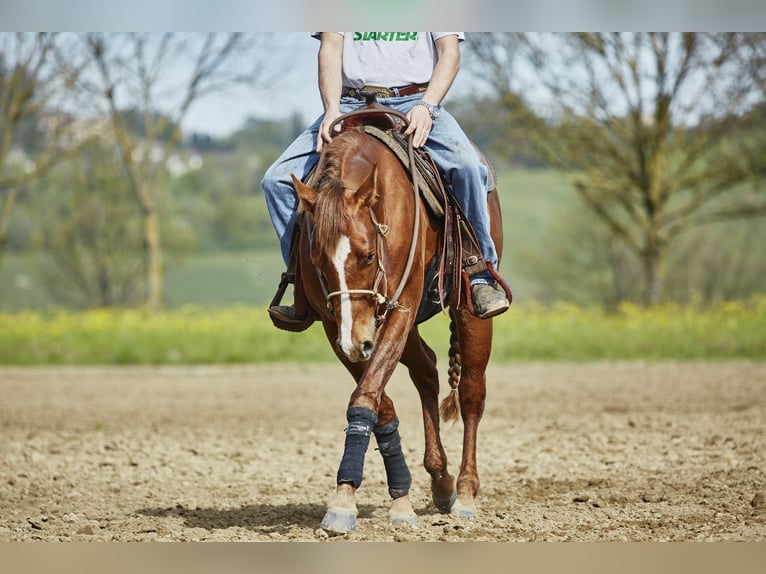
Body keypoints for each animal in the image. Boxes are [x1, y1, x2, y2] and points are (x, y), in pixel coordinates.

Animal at [292, 120, 508, 536]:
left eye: (367, 256)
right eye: (318, 261)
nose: (355, 341)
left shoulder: (400, 309)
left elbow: (366, 395)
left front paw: (343, 500)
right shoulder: (336, 326)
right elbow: (378, 401)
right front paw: (398, 496)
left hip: (471, 311)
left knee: (472, 393)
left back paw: (465, 492)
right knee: (427, 370)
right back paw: (440, 480)